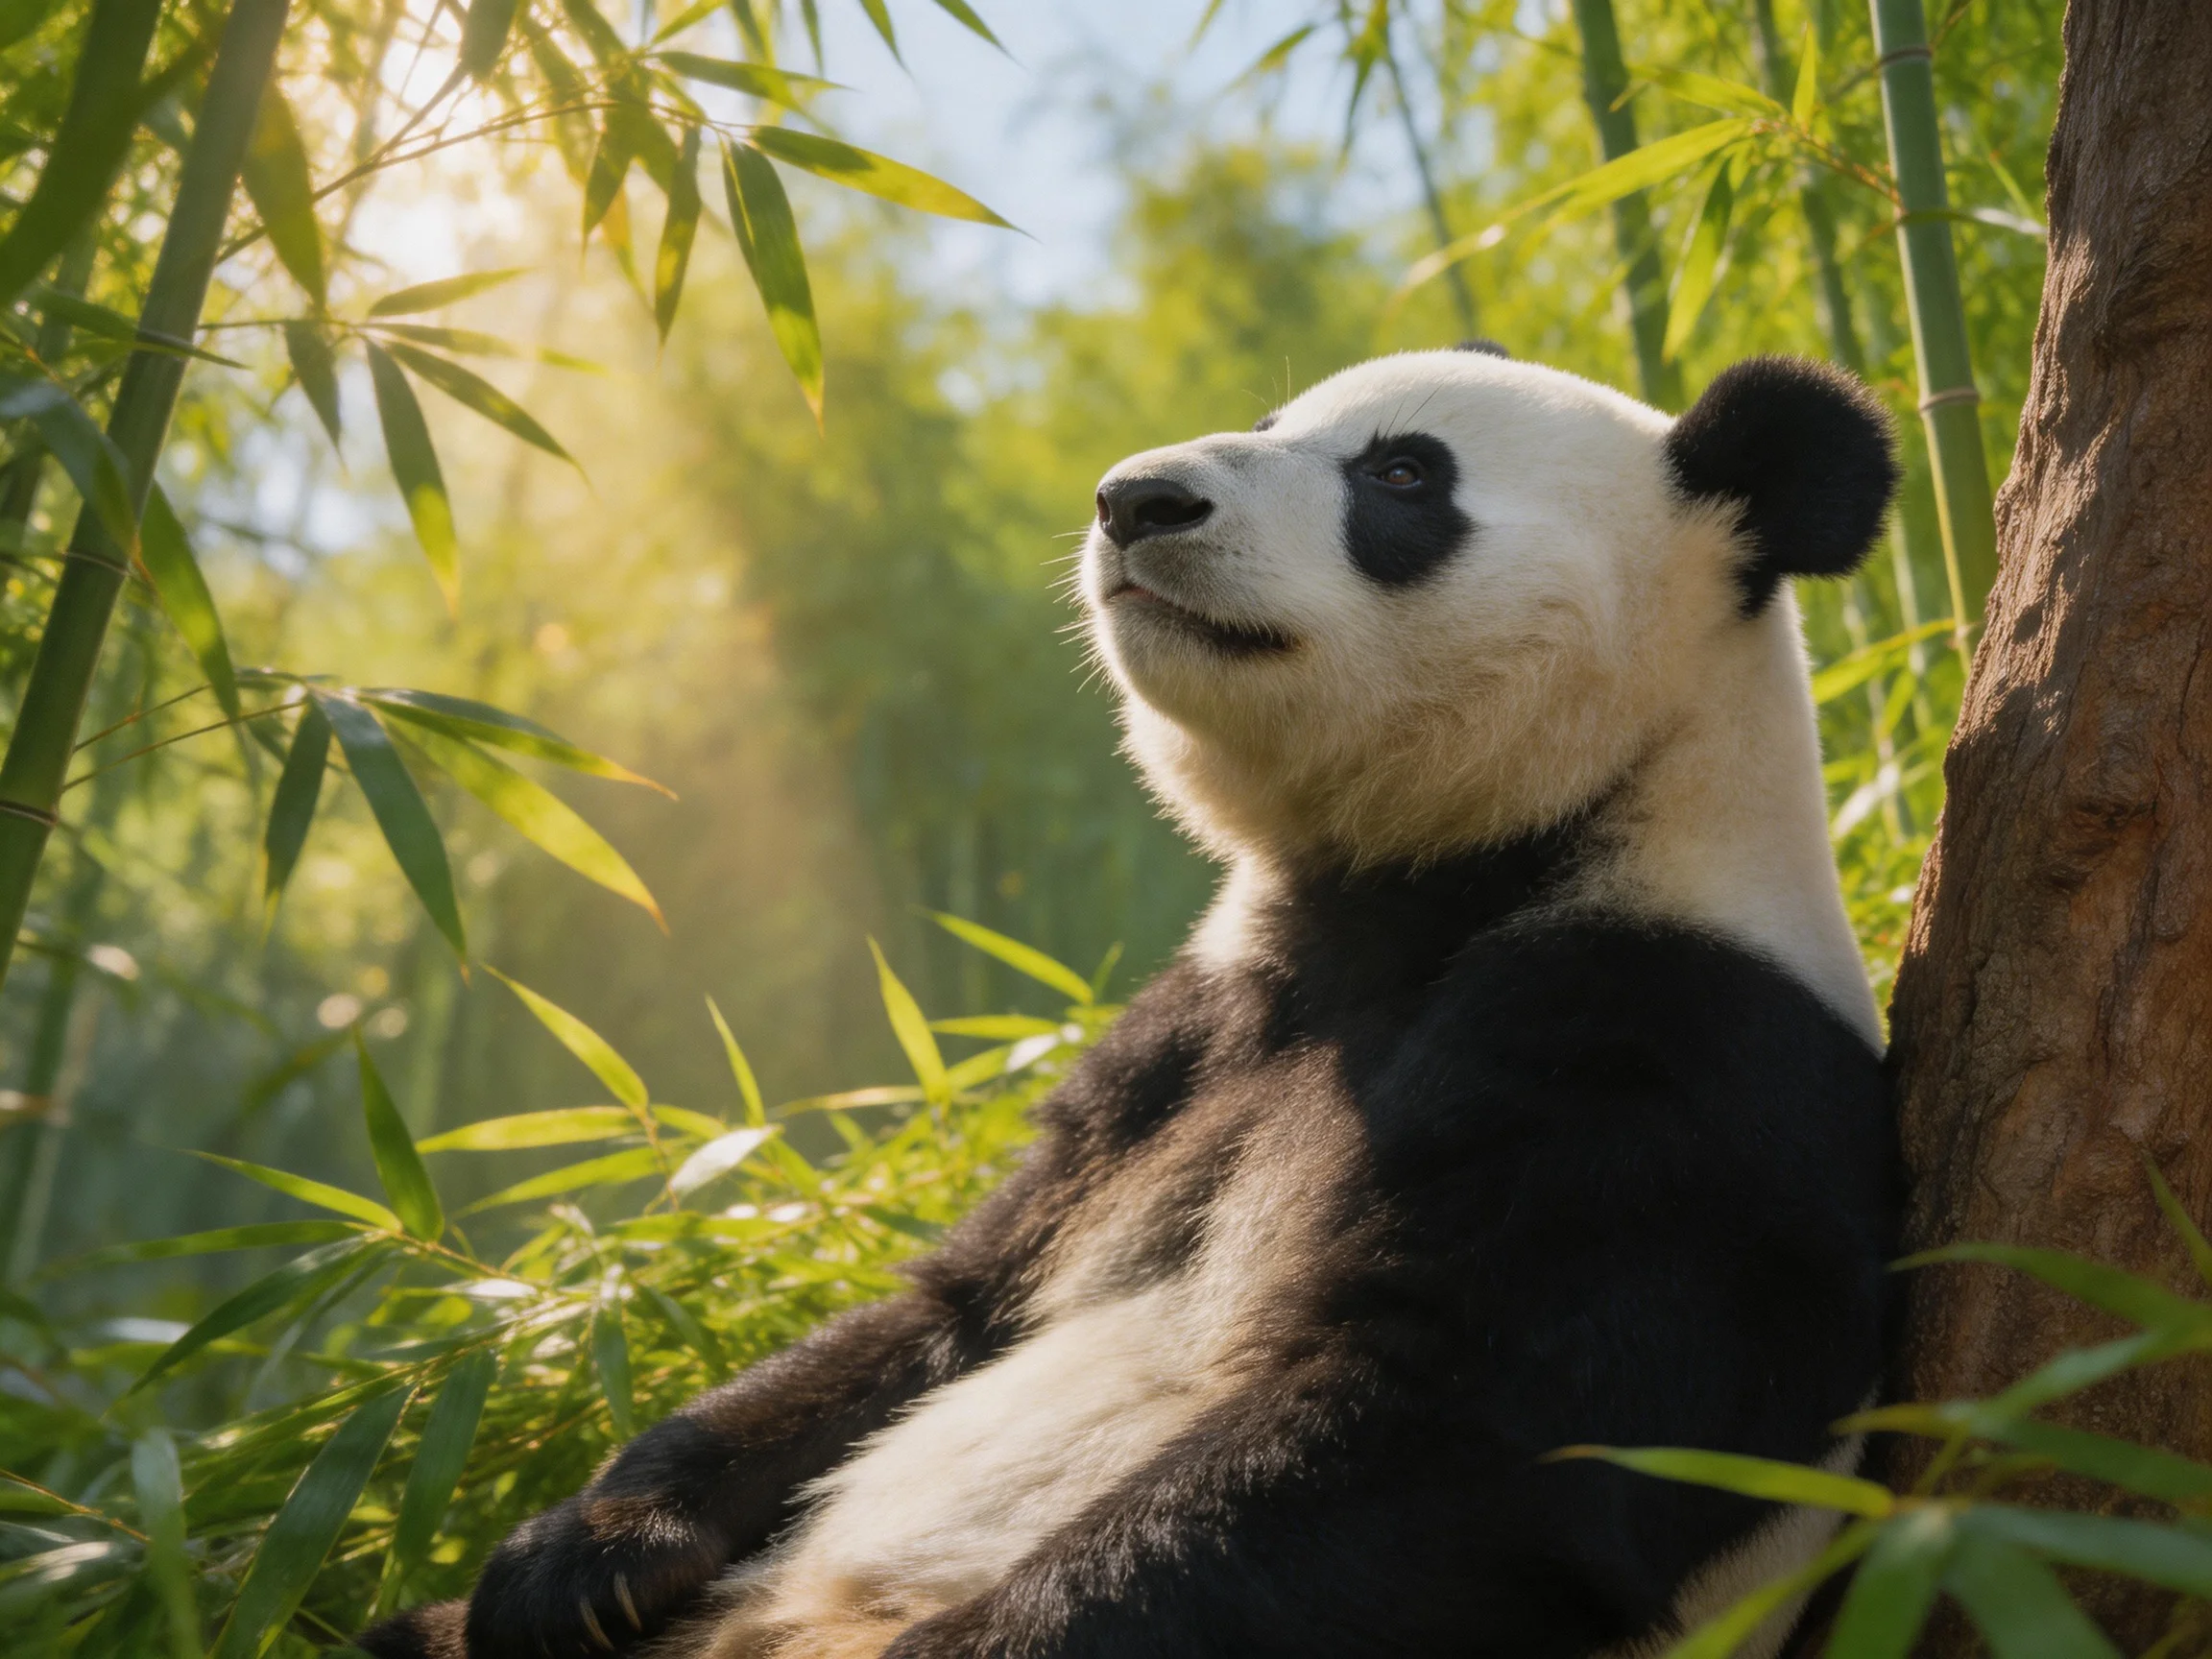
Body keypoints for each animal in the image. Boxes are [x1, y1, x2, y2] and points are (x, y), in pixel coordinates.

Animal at [361, 346, 1902, 1659]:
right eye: (1275, 421)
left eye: (1404, 475)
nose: (1137, 497)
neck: (1464, 869)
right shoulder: (1194, 1033)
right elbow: (949, 1306)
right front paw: (581, 1556)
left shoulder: (1676, 1057)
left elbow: (1464, 1450)